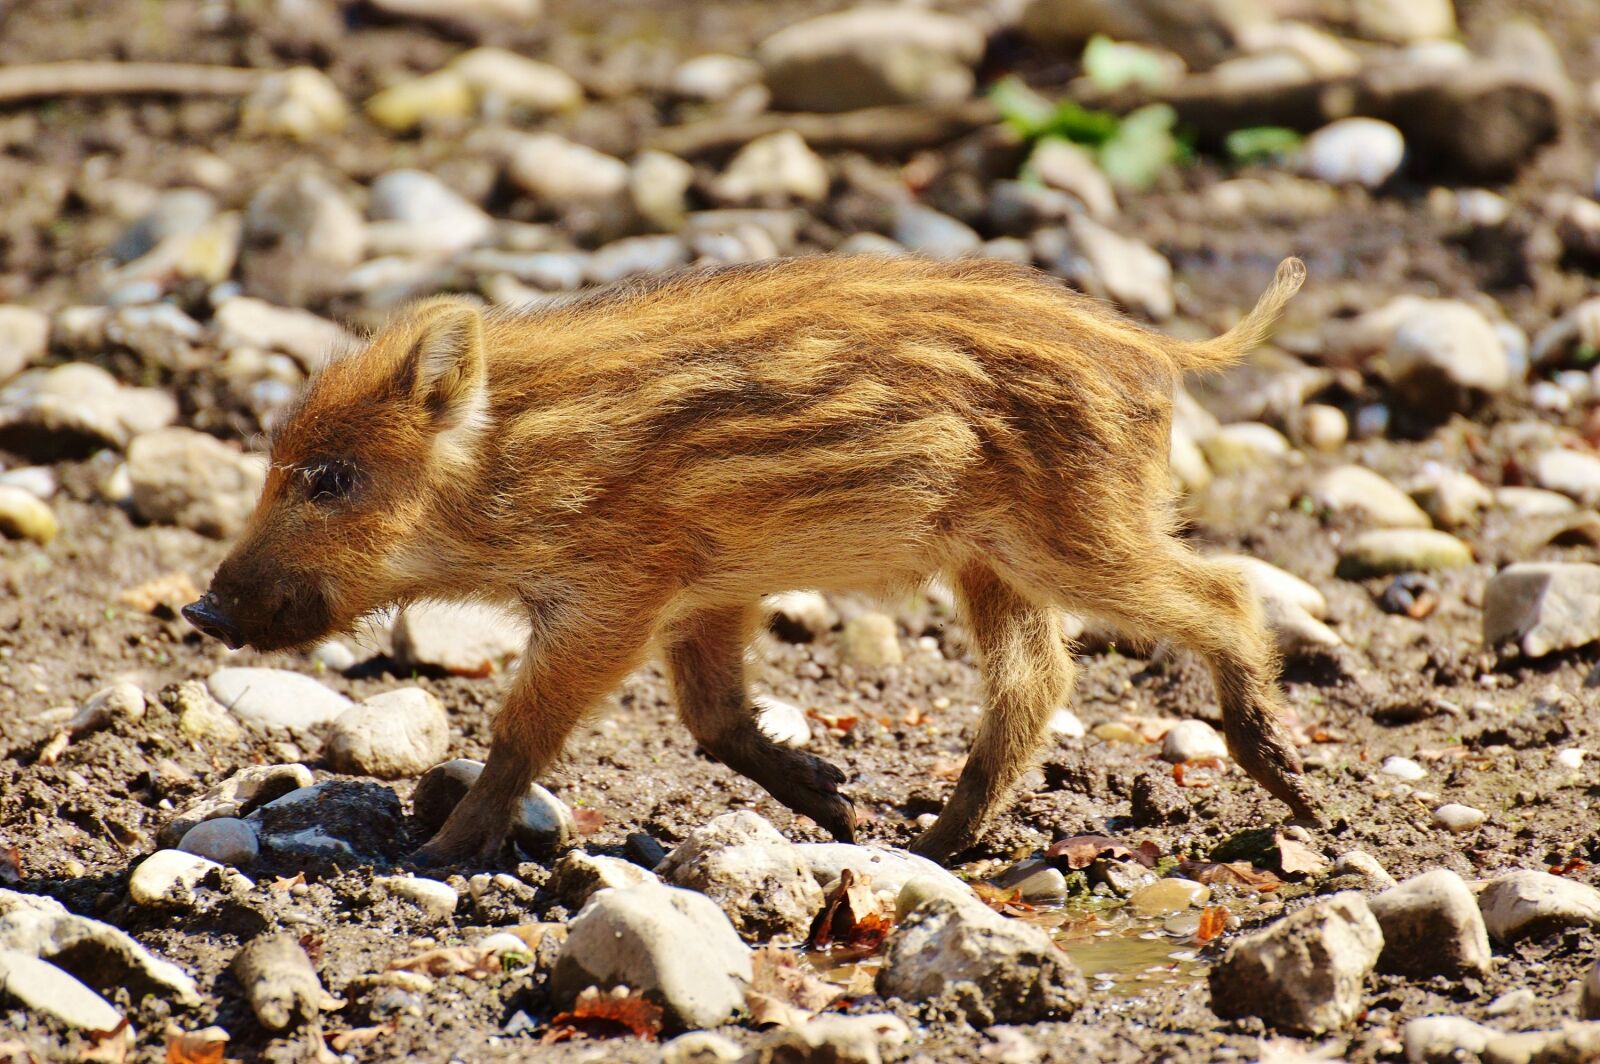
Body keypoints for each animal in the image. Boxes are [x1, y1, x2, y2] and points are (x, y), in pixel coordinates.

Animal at [183, 254, 1318, 865]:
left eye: (331, 478)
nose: (202, 610)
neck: (512, 466)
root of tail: (1161, 350)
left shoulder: (616, 592)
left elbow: (521, 729)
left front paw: (437, 851)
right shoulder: (706, 594)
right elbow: (713, 717)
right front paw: (836, 798)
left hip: (1075, 531)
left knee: (1224, 590)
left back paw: (1291, 783)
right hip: (995, 559)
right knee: (1037, 678)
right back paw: (927, 843)